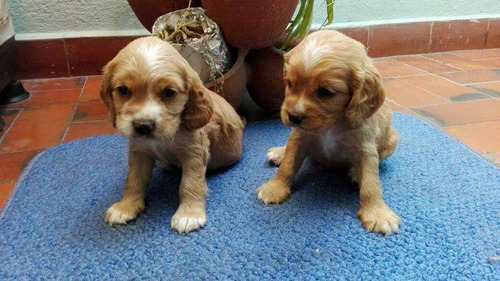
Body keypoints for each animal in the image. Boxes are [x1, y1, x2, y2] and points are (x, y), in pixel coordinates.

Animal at [100, 37, 245, 234]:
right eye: (123, 90)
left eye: (169, 92)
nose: (143, 126)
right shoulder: (139, 151)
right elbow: (134, 179)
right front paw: (126, 207)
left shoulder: (194, 152)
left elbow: (190, 183)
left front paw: (188, 215)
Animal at [258, 30, 402, 234]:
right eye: (290, 83)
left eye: (326, 92)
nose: (293, 116)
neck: (331, 124)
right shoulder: (300, 137)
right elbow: (288, 165)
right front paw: (275, 187)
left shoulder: (365, 148)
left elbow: (370, 182)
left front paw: (377, 213)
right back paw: (279, 152)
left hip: (392, 140)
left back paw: (354, 174)